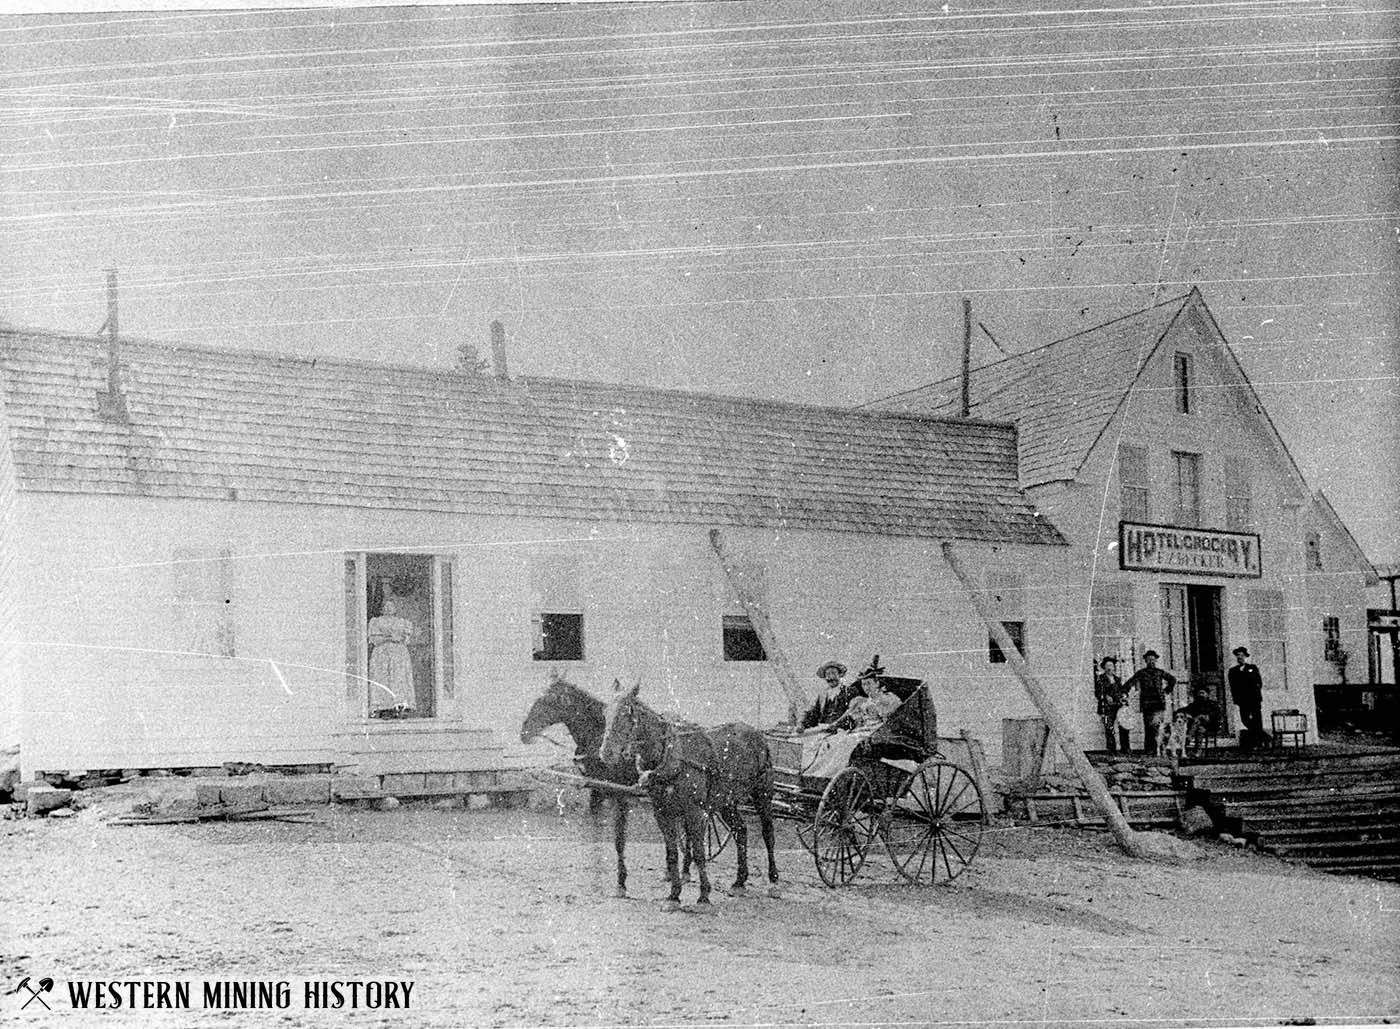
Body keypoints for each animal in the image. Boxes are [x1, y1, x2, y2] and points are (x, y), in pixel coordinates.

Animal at [520, 672, 700, 896]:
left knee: (687, 829)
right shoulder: (596, 791)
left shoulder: (621, 794)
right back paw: (671, 870)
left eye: (548, 700)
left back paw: (685, 870)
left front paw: (621, 882)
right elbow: (596, 833)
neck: (596, 737)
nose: (524, 732)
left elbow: (619, 840)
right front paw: (597, 880)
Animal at [599, 683, 784, 907]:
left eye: (628, 713)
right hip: (726, 801)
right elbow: (672, 853)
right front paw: (673, 895)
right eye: (605, 712)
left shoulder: (695, 811)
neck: (670, 755)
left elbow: (698, 851)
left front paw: (703, 896)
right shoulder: (662, 812)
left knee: (768, 834)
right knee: (741, 829)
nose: (606, 752)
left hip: (762, 794)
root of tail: (758, 734)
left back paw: (773, 882)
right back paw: (739, 881)